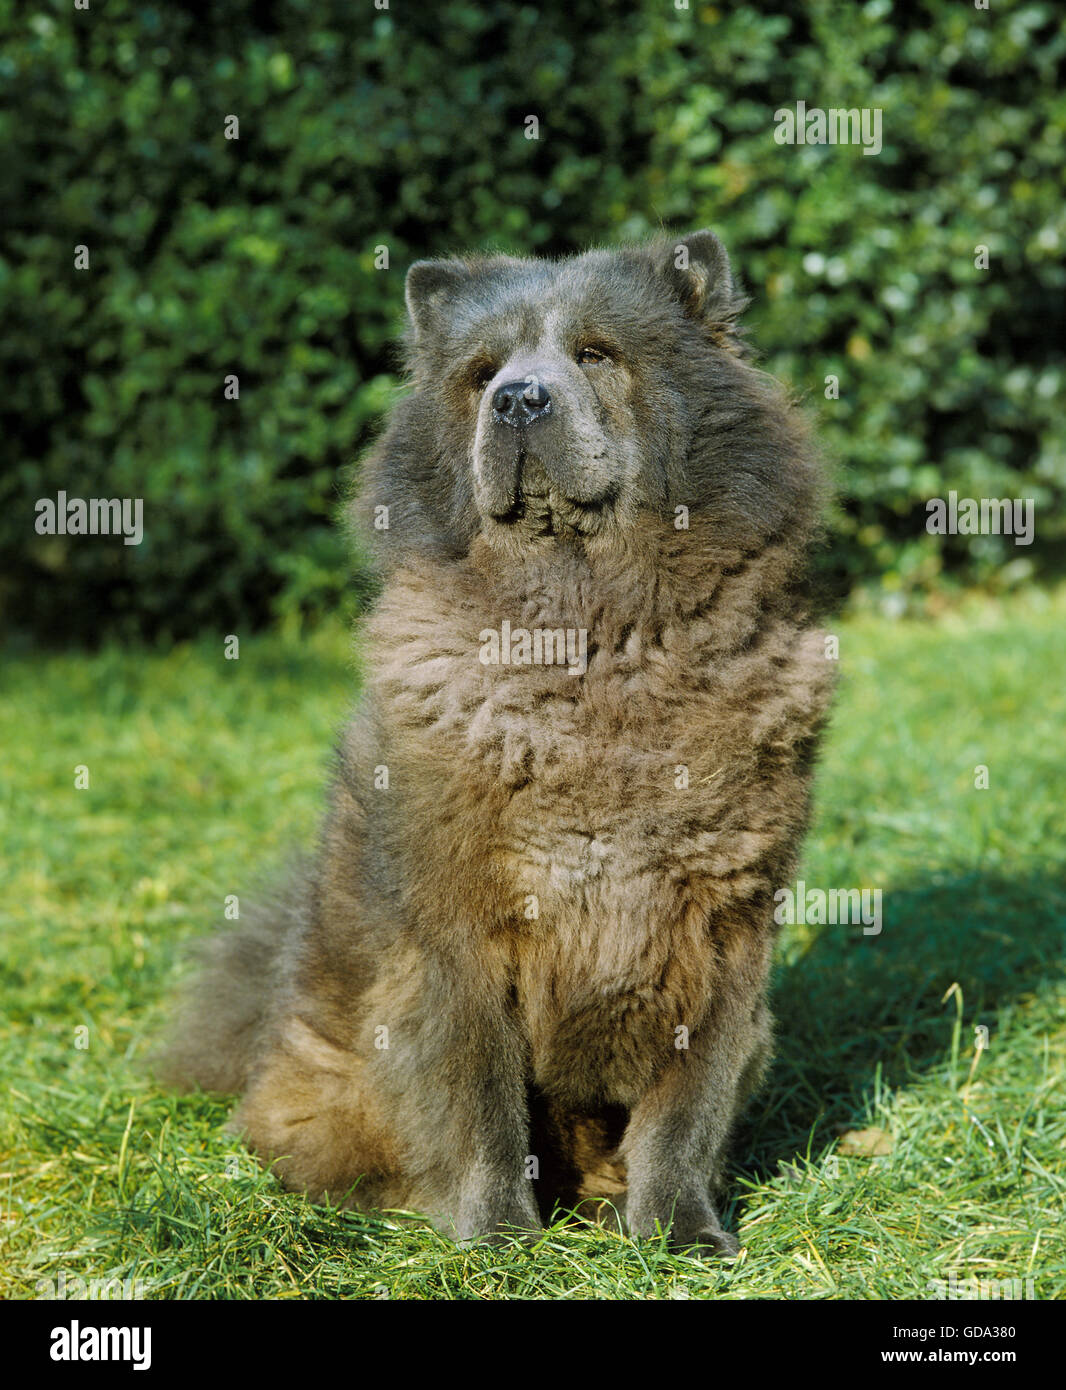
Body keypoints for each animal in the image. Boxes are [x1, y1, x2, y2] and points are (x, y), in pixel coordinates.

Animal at [160, 225, 845, 1251]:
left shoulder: (727, 928)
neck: (589, 637)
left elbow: (688, 1108)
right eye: (482, 373)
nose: (518, 398)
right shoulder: (458, 929)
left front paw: (682, 1234)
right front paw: (497, 1242)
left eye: (597, 355)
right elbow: (478, 1096)